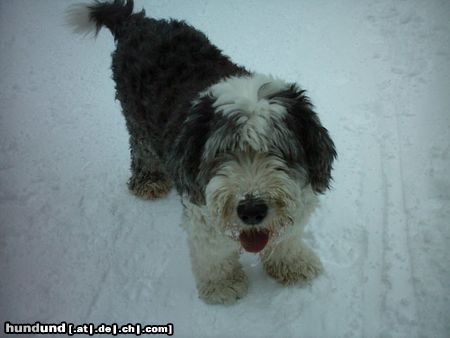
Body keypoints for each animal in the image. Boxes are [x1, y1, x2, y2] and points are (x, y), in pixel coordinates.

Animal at [66, 0, 334, 304]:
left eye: (278, 150)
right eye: (222, 152)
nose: (252, 210)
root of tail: (135, 22)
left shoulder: (298, 197)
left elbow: (288, 237)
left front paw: (293, 264)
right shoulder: (203, 208)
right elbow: (213, 251)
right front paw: (222, 285)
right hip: (136, 118)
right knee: (142, 148)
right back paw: (149, 181)